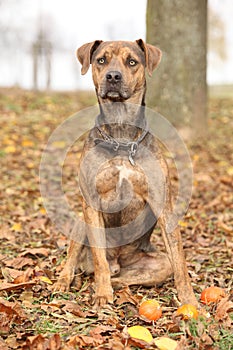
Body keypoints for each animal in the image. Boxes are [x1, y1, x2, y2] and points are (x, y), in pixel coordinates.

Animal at [53, 39, 198, 308]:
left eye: (132, 61)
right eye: (101, 60)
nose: (113, 76)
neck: (121, 137)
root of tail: (118, 264)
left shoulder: (163, 204)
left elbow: (180, 262)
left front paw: (190, 303)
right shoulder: (92, 203)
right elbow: (99, 258)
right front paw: (101, 294)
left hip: (156, 264)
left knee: (132, 276)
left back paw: (119, 287)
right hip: (81, 223)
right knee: (78, 261)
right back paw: (66, 282)